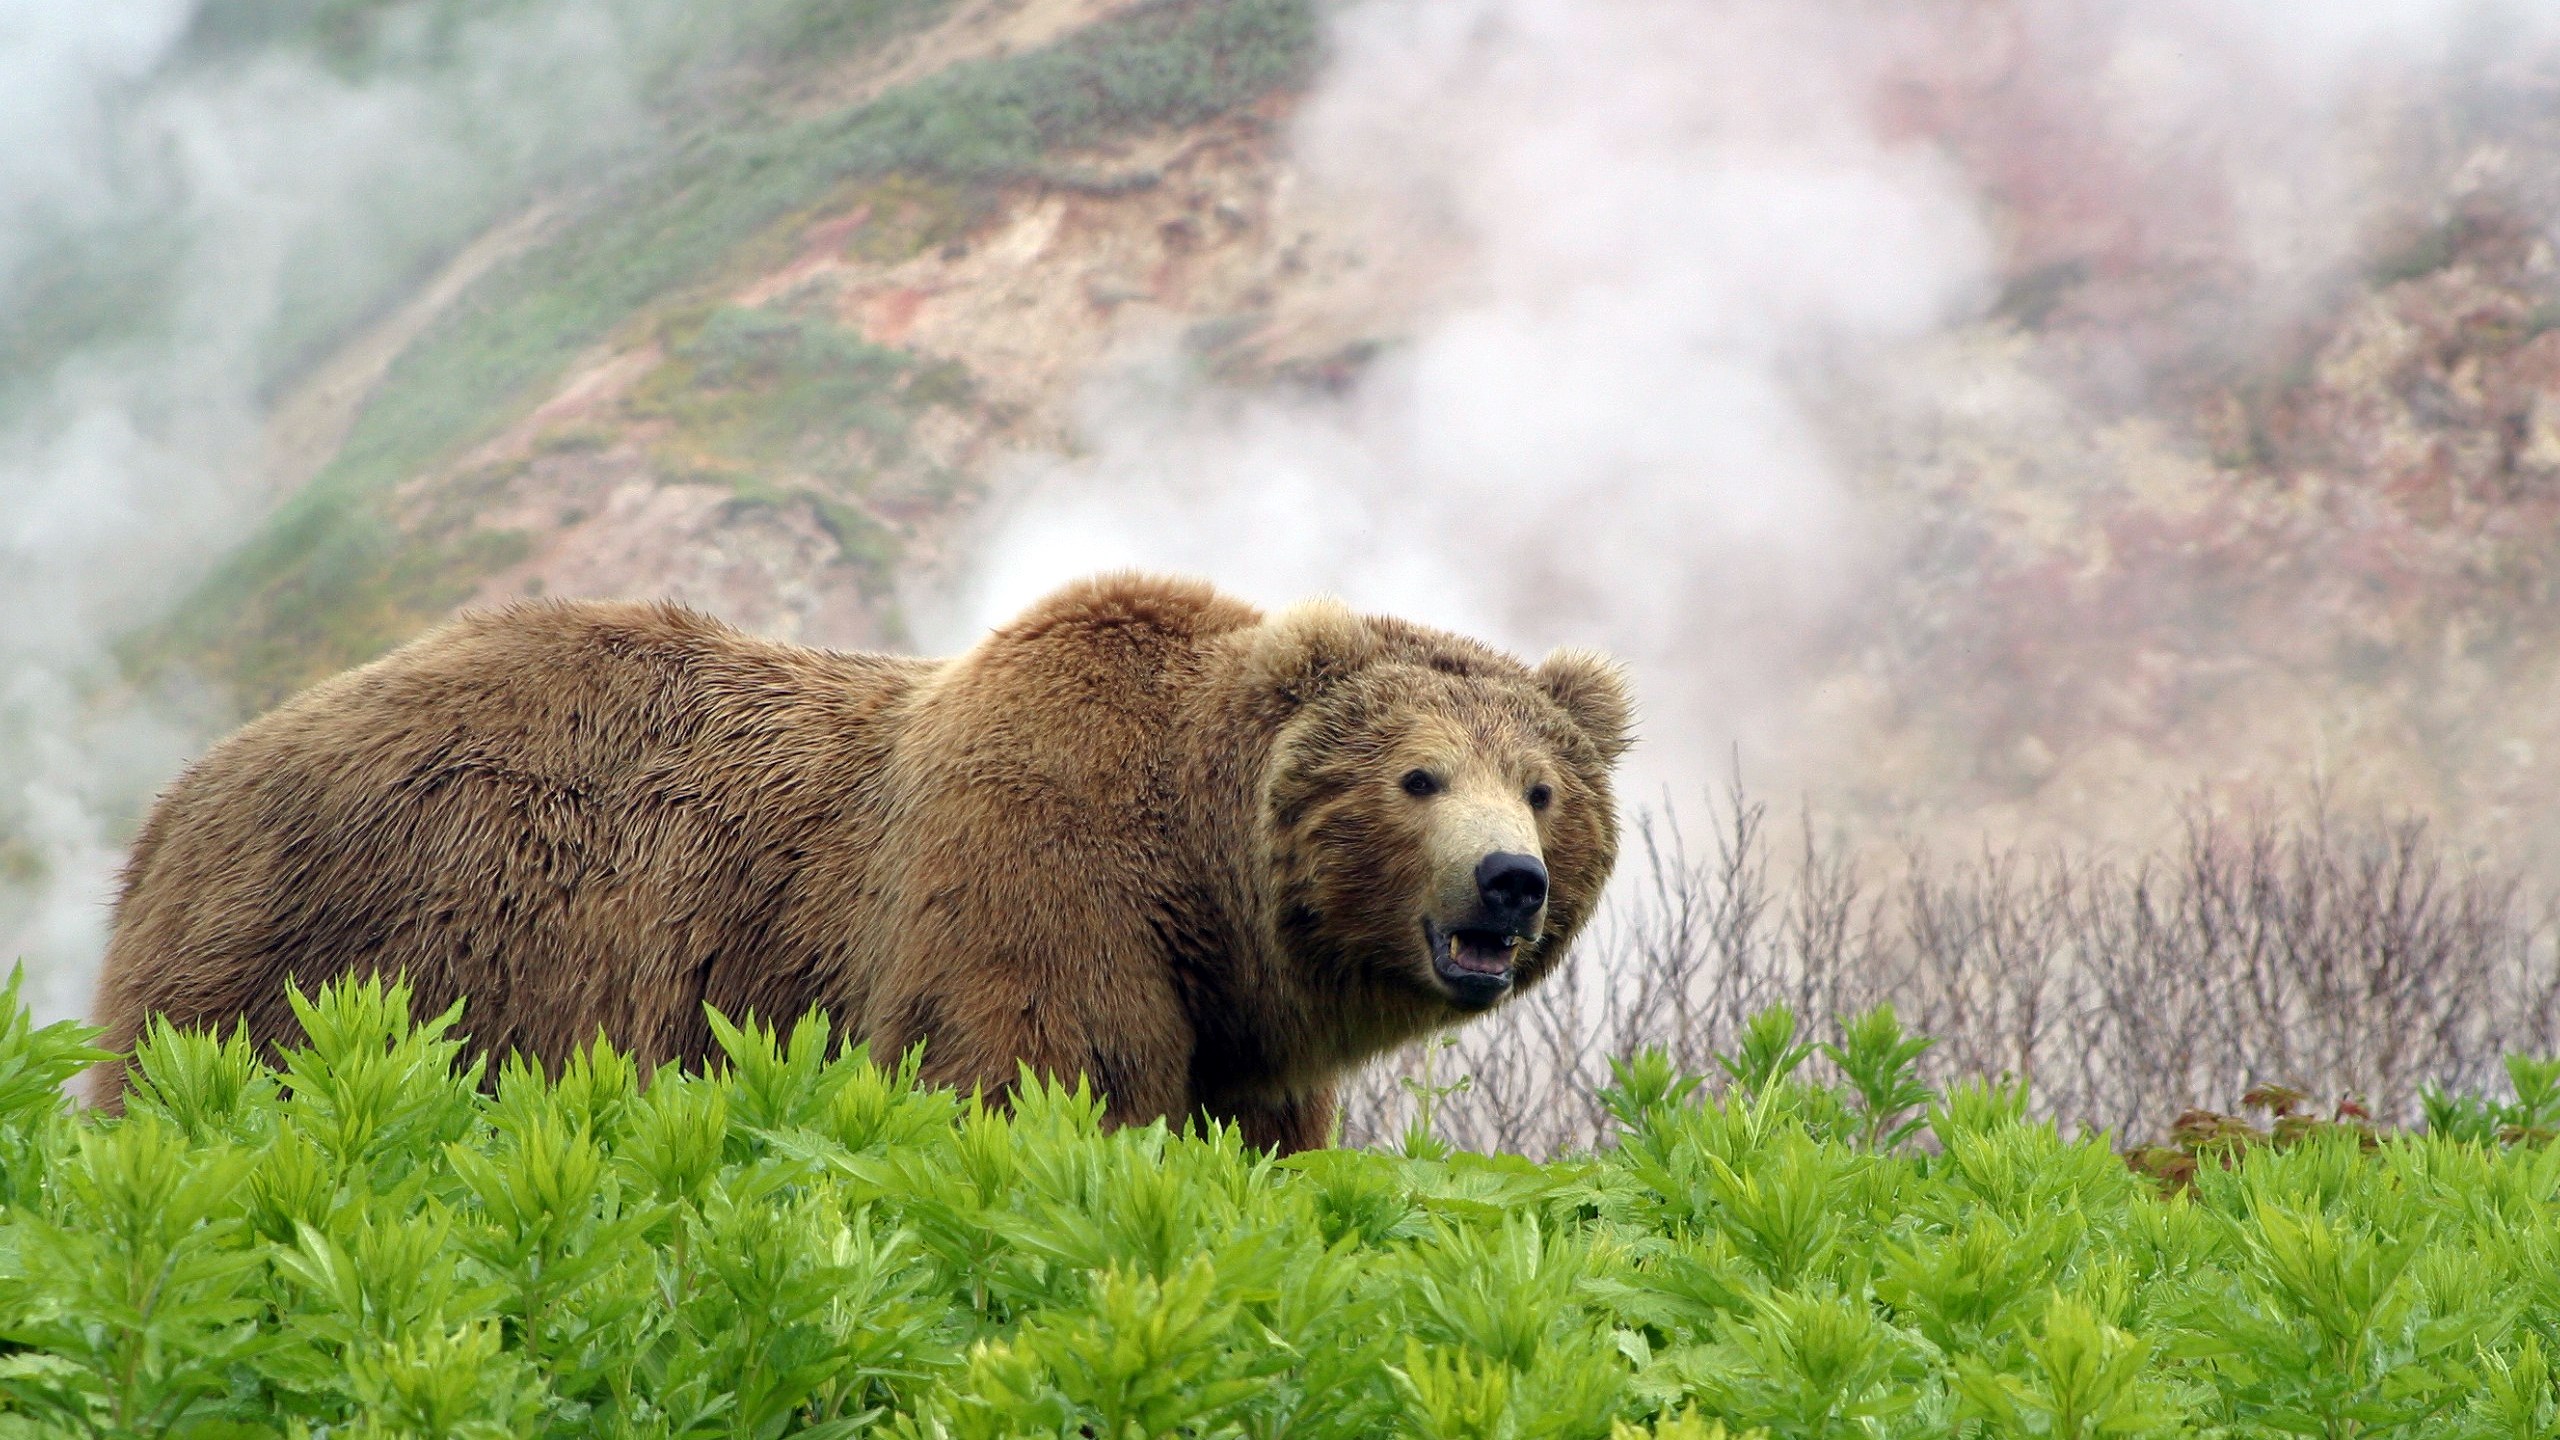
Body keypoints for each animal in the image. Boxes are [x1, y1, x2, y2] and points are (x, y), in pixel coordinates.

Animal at [88, 573, 1632, 1151]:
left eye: (1542, 789)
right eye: (1419, 775)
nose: (1507, 881)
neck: (1205, 890)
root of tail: (177, 796)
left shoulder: (1238, 1043)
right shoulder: (1034, 890)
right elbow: (1015, 1092)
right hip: (339, 956)